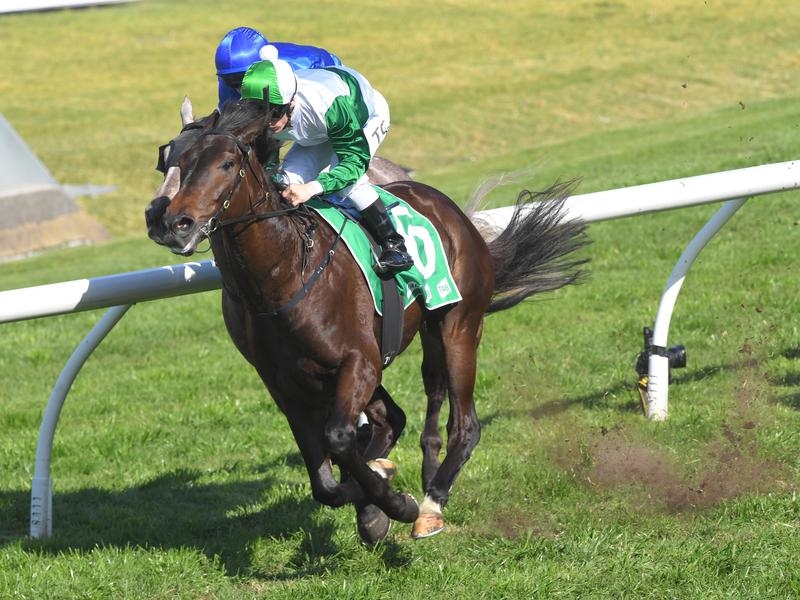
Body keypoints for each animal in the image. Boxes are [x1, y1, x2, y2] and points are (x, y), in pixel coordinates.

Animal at [145, 99, 589, 543]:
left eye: (228, 162)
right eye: (173, 159)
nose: (173, 223)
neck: (285, 274)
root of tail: (449, 209)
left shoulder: (358, 362)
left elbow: (340, 439)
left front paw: (396, 504)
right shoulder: (287, 385)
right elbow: (325, 482)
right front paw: (376, 497)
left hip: (457, 327)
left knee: (465, 425)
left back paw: (431, 503)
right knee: (398, 416)